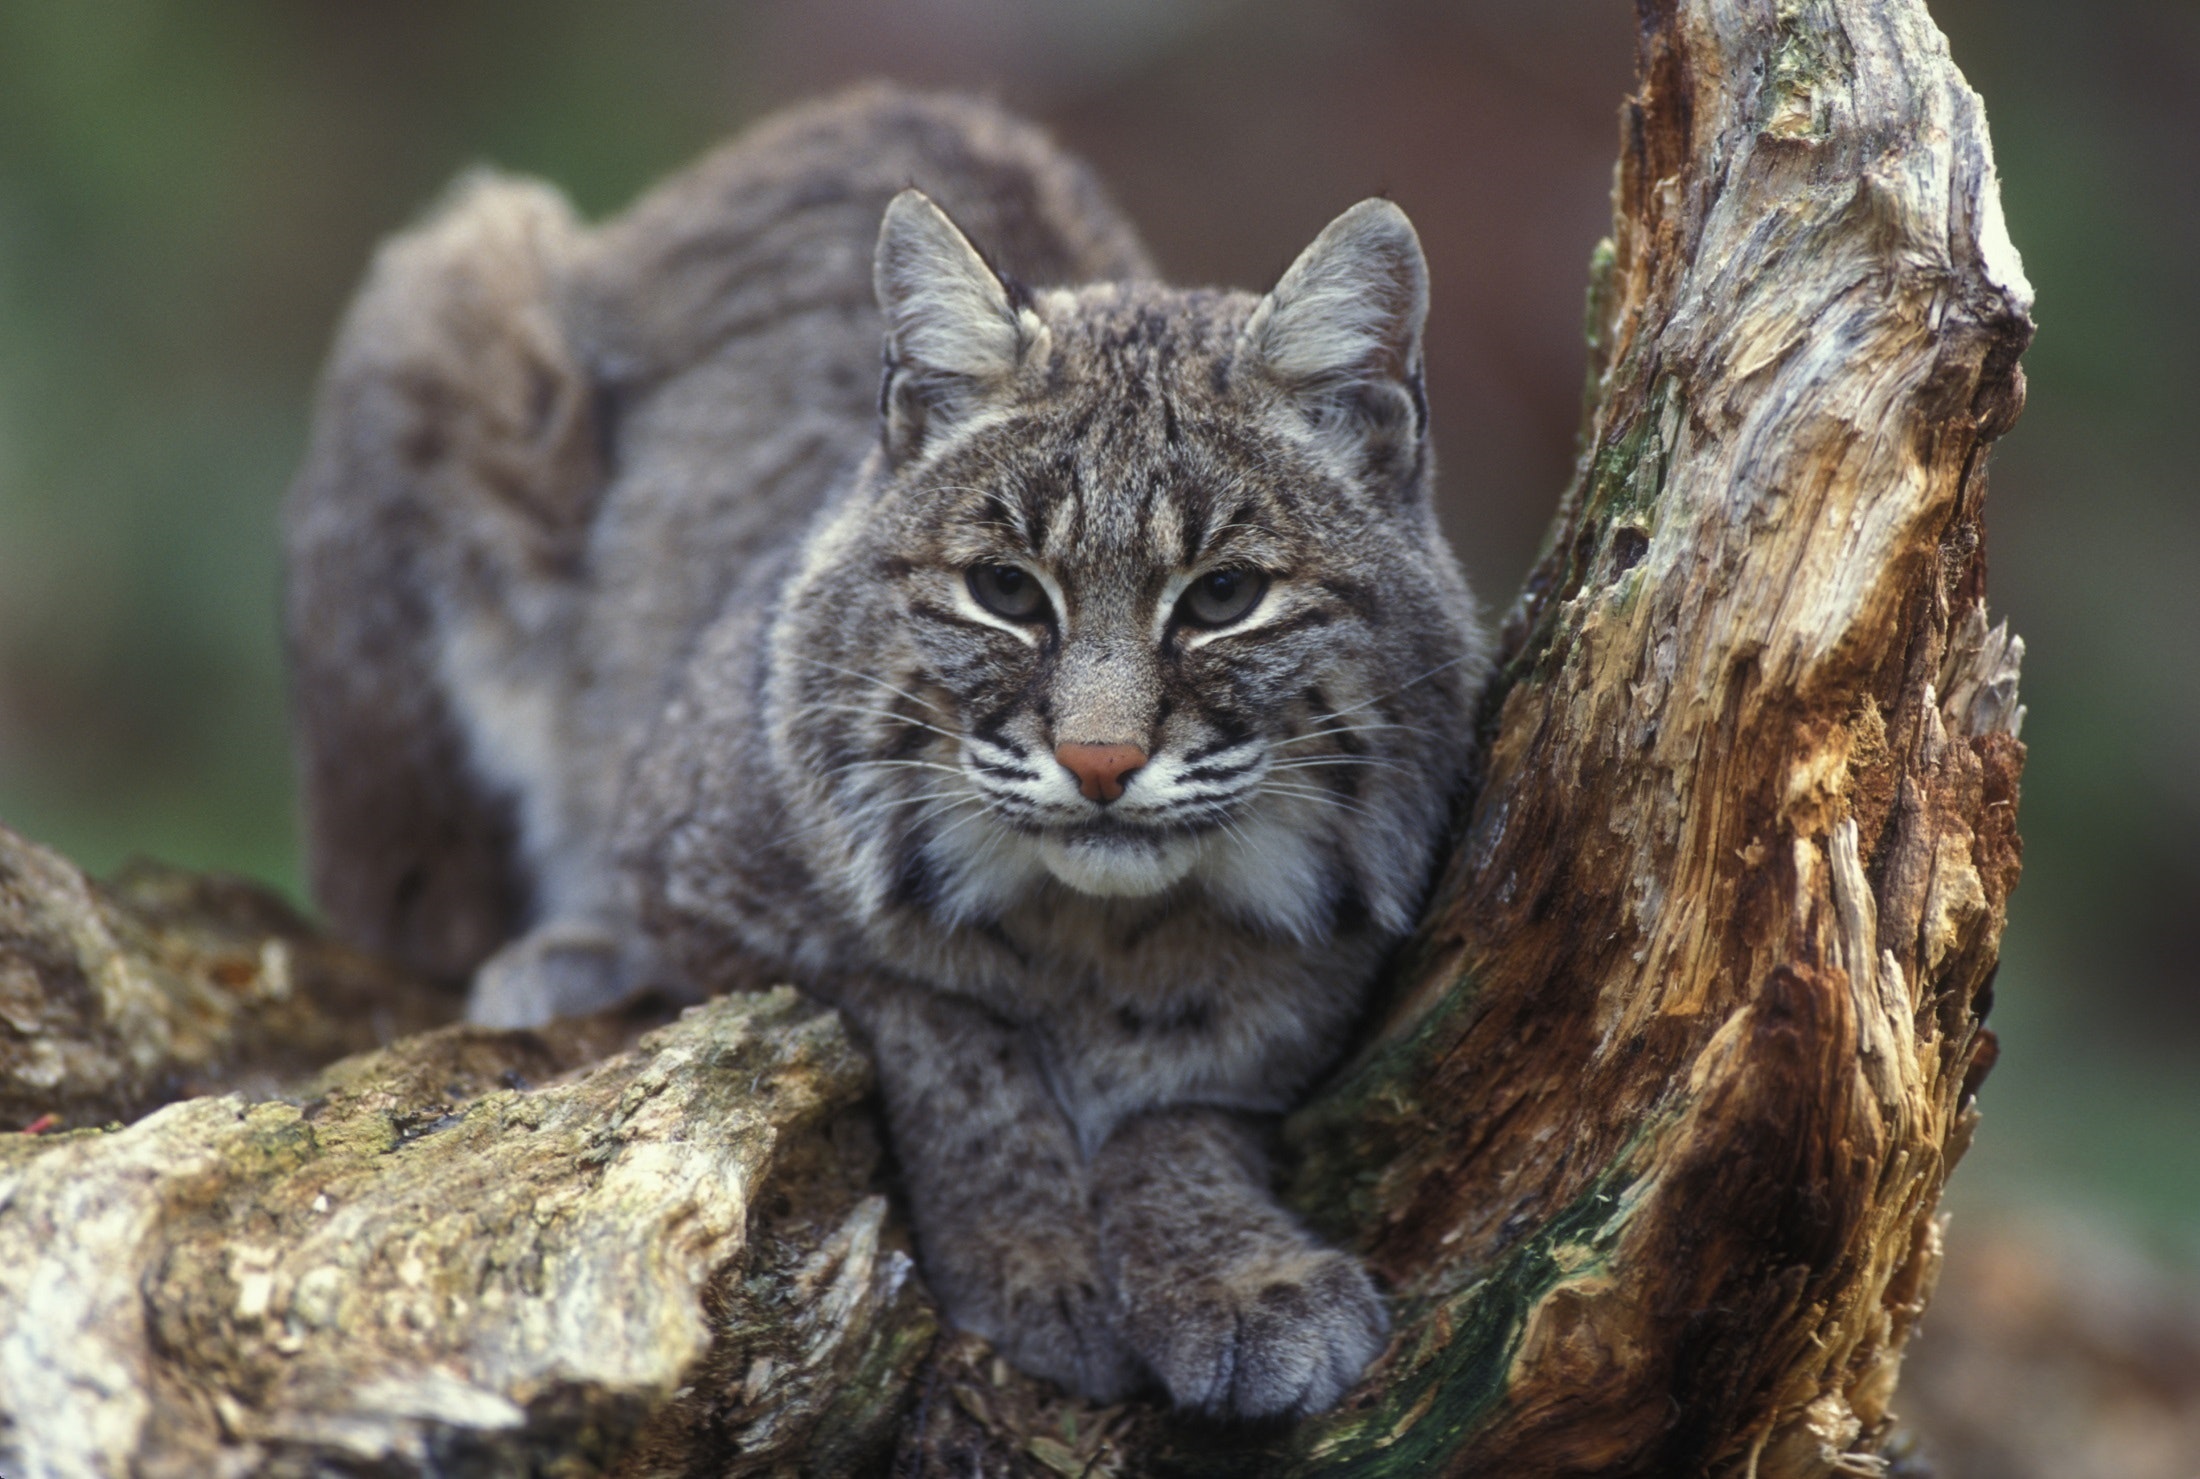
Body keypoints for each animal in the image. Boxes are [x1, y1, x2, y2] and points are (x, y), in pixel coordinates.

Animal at [283, 83, 1487, 1417]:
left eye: (1223, 597)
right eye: (1004, 592)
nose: (1100, 764)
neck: (1109, 931)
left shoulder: (1328, 977)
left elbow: (1181, 1106)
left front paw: (1239, 1274)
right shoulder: (694, 865)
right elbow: (940, 1030)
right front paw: (1037, 1263)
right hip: (457, 291)